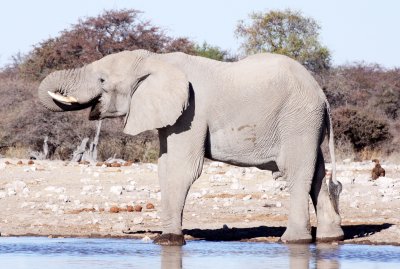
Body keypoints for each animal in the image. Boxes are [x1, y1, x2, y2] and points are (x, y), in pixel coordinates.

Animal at [38, 49, 344, 244]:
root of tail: (322, 95)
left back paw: (293, 241)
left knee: (297, 173)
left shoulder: (192, 111)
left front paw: (169, 240)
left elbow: (182, 169)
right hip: (306, 122)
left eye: (102, 80)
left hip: (298, 120)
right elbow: (164, 166)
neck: (157, 60)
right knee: (317, 174)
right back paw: (331, 238)